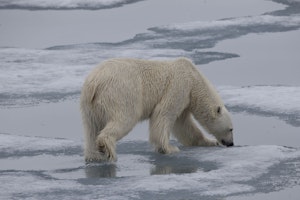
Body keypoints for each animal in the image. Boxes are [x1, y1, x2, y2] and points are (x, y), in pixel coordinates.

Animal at [80, 57, 234, 162]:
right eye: (231, 129)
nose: (231, 144)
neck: (194, 78)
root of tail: (94, 82)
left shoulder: (185, 100)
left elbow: (184, 126)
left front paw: (209, 142)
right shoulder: (179, 86)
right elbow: (164, 114)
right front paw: (169, 148)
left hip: (89, 106)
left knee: (91, 128)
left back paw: (94, 156)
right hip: (122, 93)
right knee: (125, 119)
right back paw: (107, 149)